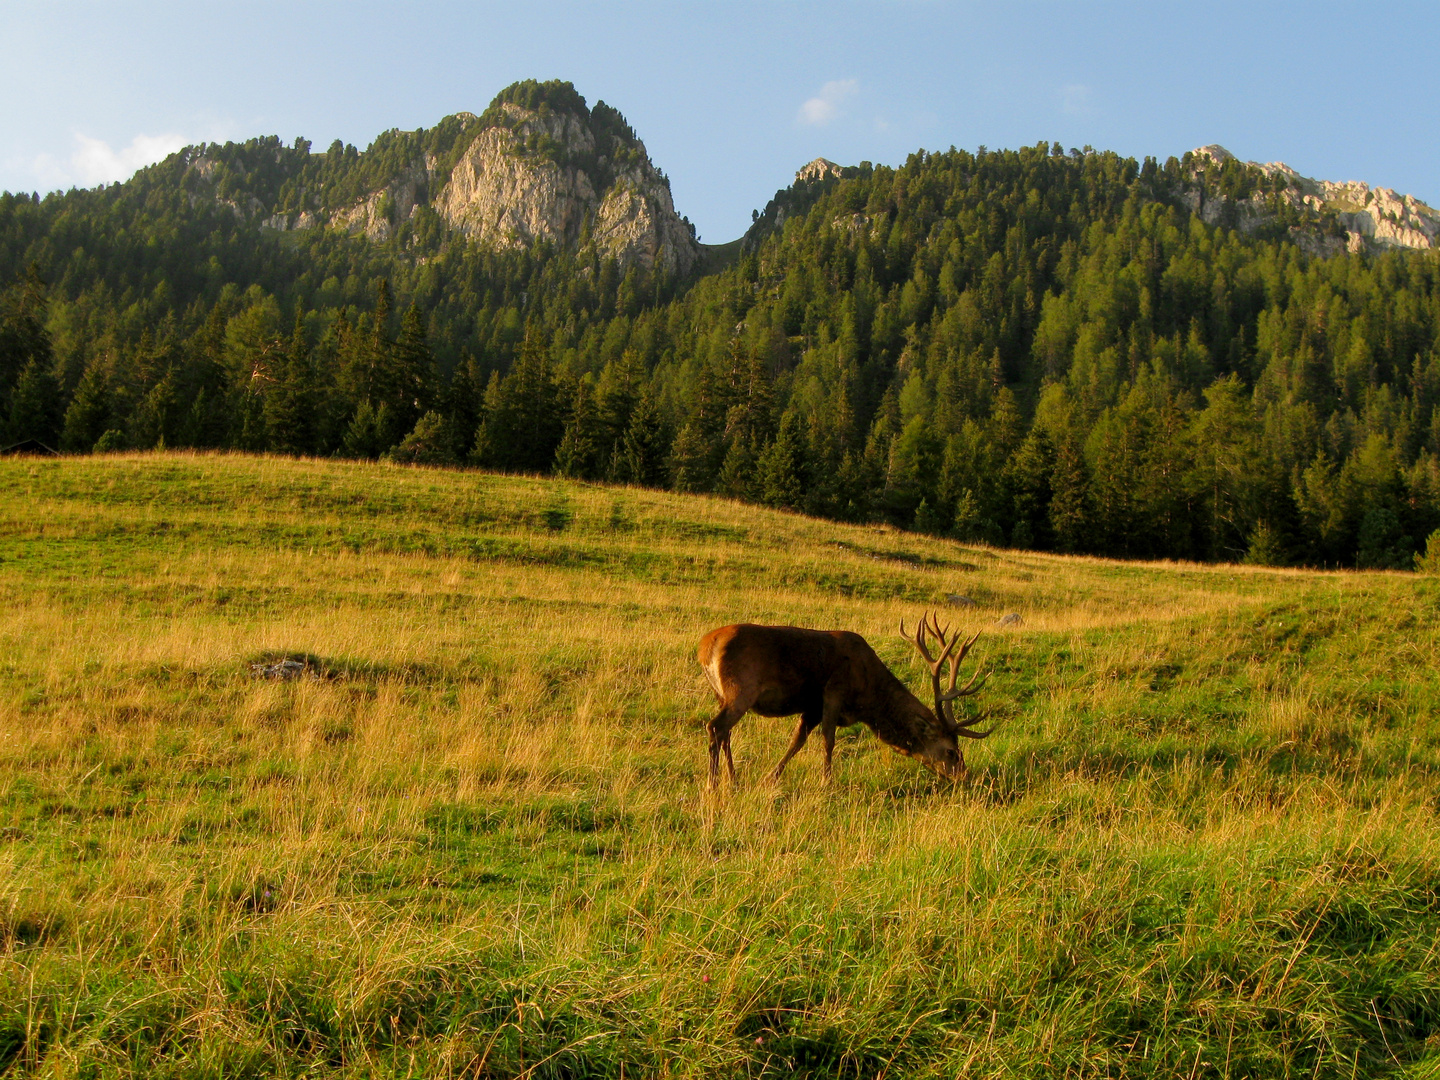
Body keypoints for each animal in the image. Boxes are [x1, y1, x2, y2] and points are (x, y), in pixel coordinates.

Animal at [694, 616, 990, 789]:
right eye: (951, 751)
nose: (965, 776)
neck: (867, 697)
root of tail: (706, 646)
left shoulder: (812, 707)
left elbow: (797, 741)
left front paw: (771, 777)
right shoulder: (834, 691)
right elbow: (828, 740)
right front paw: (827, 782)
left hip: (722, 693)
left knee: (725, 732)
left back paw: (733, 779)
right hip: (742, 688)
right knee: (715, 727)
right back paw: (714, 783)